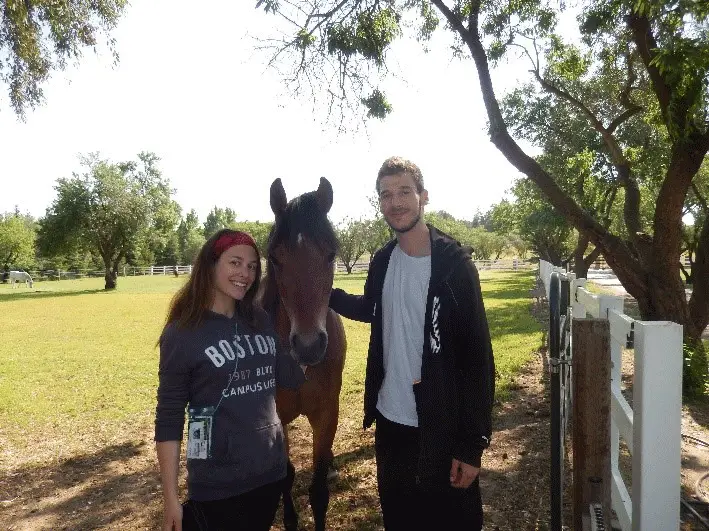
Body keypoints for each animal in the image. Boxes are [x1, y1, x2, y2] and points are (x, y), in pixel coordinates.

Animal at [260, 177, 348, 528]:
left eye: (331, 254)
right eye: (275, 257)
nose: (309, 346)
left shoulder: (326, 414)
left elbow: (319, 489)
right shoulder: (278, 418)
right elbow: (286, 476)